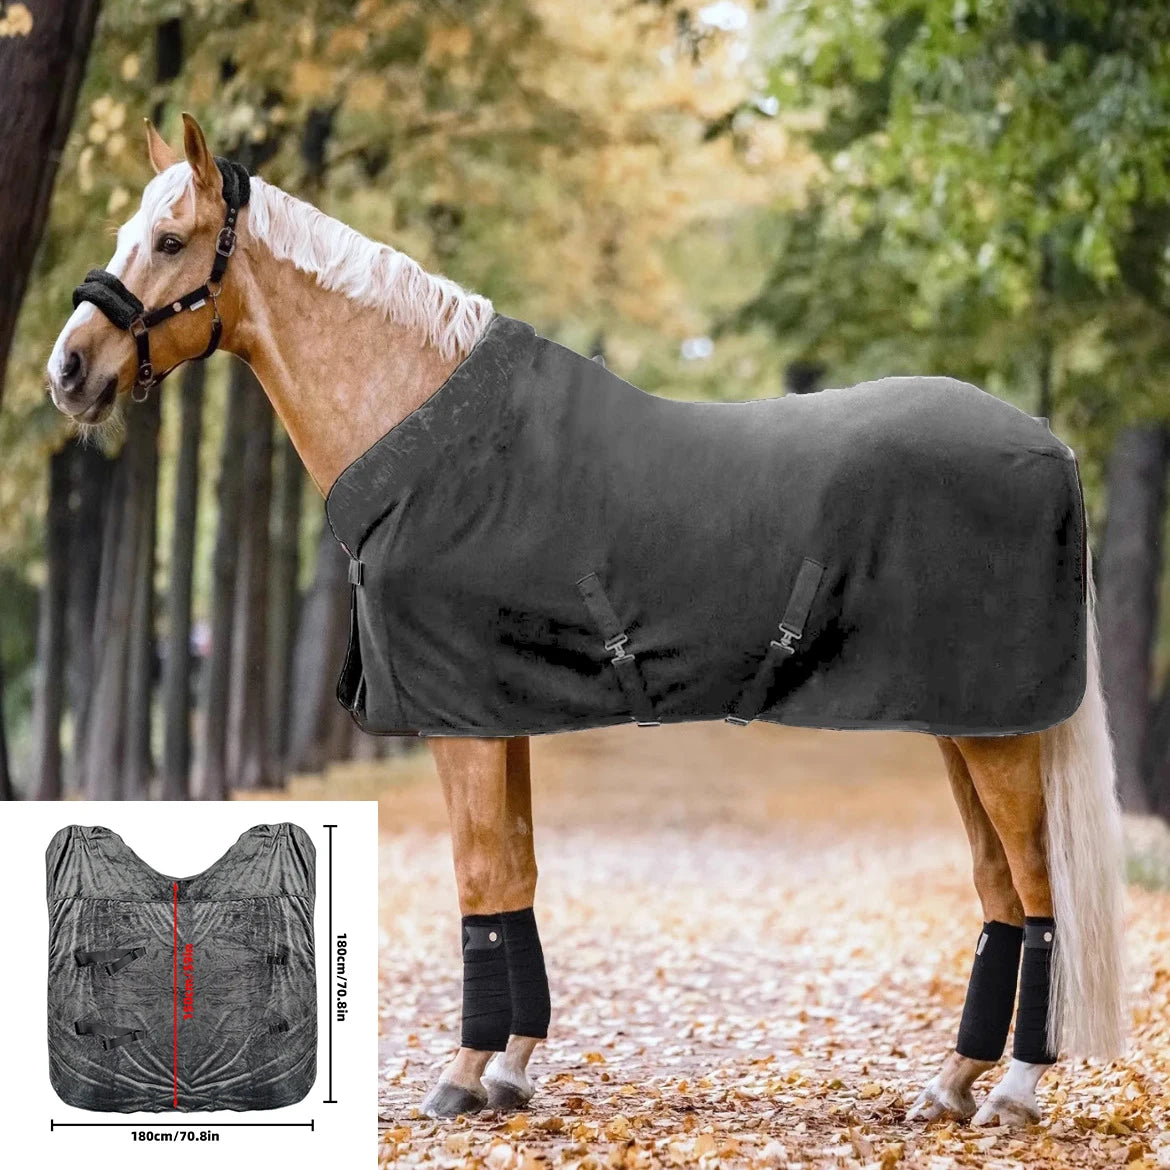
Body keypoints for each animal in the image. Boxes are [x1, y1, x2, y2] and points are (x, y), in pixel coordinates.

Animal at [48, 114, 1127, 1127]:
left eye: (172, 239)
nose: (69, 370)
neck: (437, 447)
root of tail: (1054, 447)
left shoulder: (459, 723)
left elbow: (481, 880)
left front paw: (462, 1074)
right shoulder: (499, 714)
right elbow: (517, 874)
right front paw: (512, 1070)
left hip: (997, 734)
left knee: (1039, 892)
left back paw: (1016, 1089)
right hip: (963, 725)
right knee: (999, 892)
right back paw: (951, 1086)